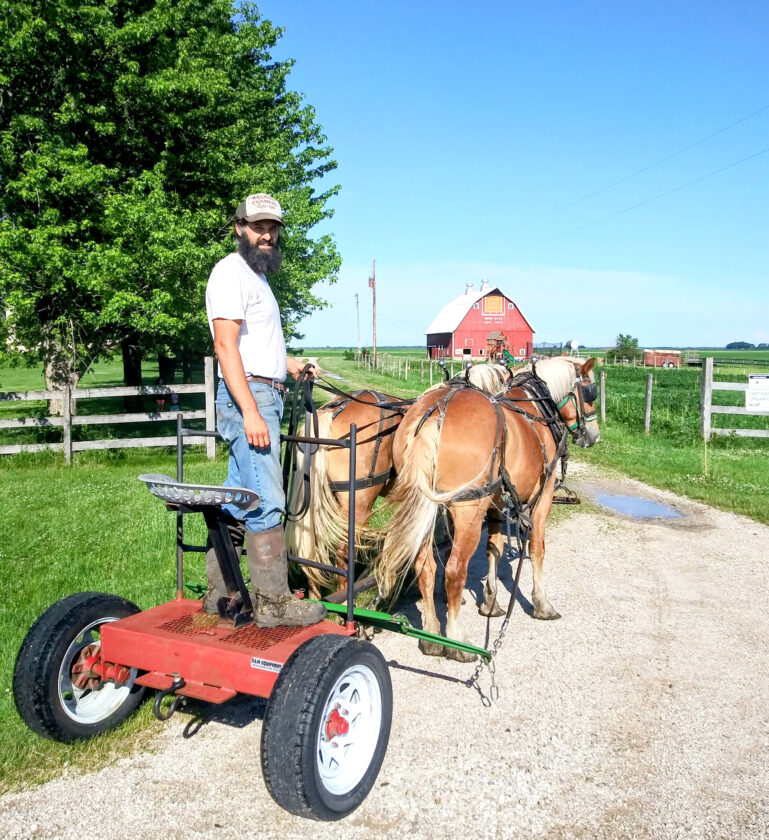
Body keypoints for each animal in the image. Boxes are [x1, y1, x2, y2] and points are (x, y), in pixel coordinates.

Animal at [374, 356, 600, 661]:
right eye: (591, 393)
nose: (593, 436)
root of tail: (436, 414)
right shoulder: (544, 494)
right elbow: (537, 548)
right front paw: (542, 604)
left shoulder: (495, 503)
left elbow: (494, 548)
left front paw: (490, 602)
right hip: (467, 508)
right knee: (455, 570)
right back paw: (457, 642)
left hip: (426, 507)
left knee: (425, 566)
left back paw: (432, 637)